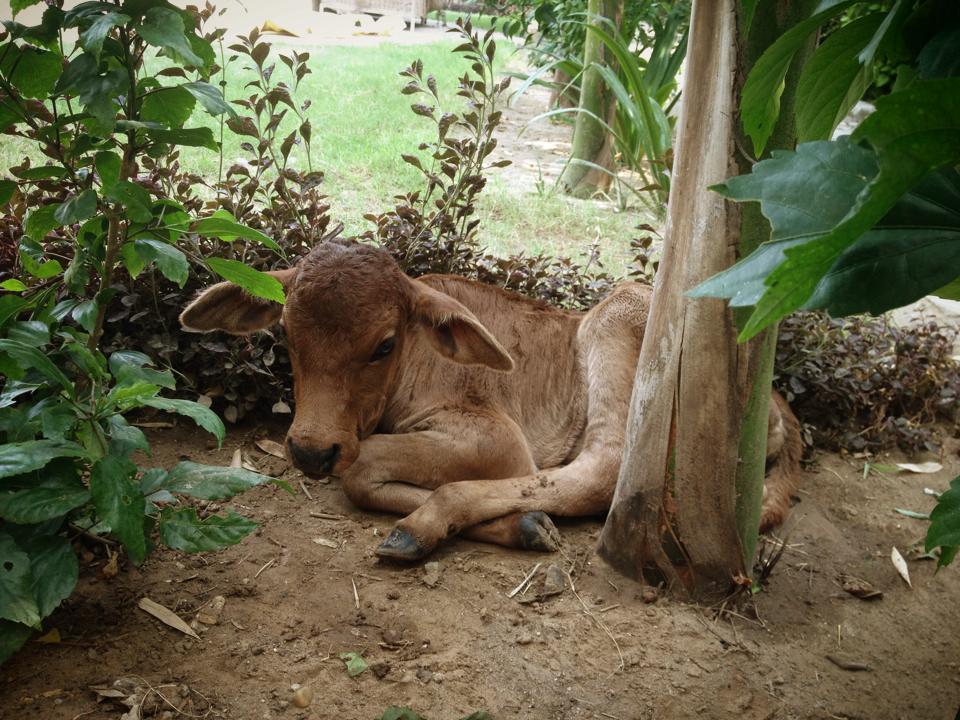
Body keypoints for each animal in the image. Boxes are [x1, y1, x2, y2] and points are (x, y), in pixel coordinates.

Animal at [180, 240, 801, 561]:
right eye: (286, 333)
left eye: (384, 344)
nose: (311, 450)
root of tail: (778, 410)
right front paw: (522, 525)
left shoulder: (499, 438)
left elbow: (360, 468)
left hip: (617, 323)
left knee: (604, 471)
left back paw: (429, 520)